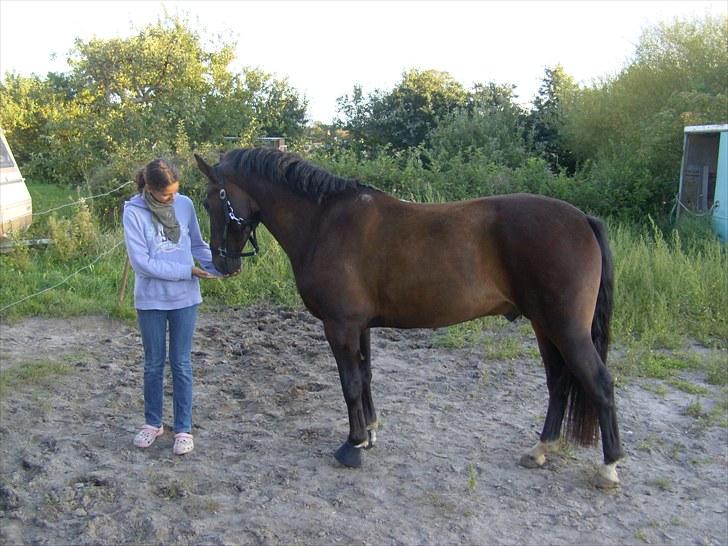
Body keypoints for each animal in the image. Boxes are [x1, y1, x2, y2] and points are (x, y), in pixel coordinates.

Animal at [194, 148, 624, 489]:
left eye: (211, 202)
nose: (222, 263)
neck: (324, 222)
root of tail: (583, 220)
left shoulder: (340, 327)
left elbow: (350, 383)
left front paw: (352, 446)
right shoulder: (360, 327)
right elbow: (365, 378)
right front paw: (369, 433)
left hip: (566, 330)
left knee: (600, 384)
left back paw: (609, 468)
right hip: (545, 328)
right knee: (558, 385)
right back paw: (541, 449)